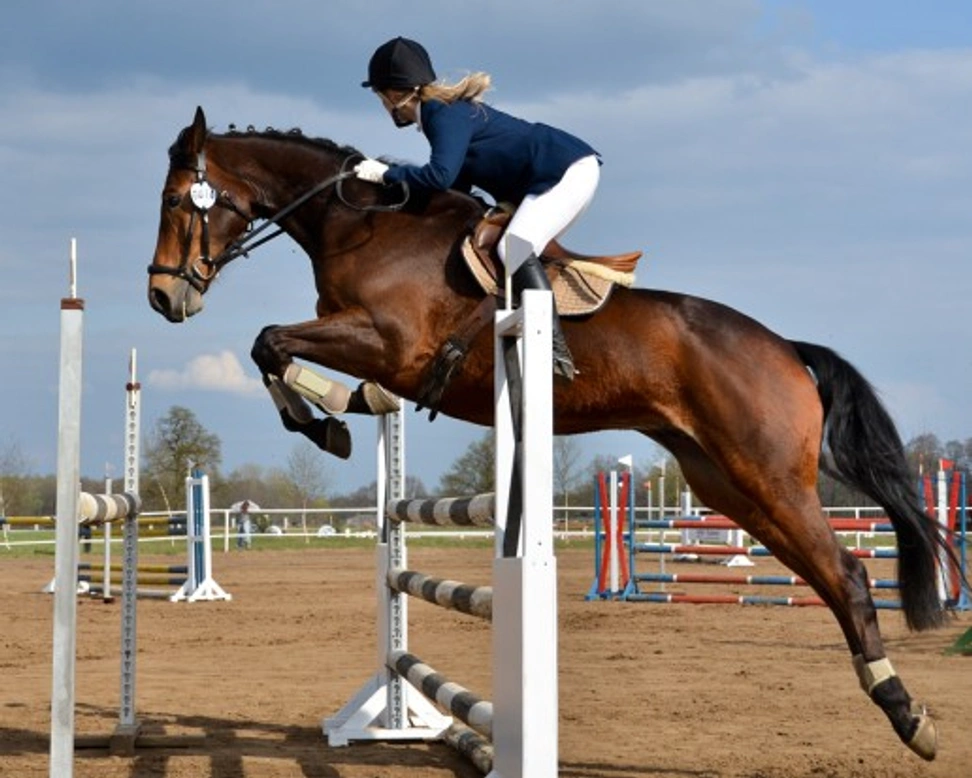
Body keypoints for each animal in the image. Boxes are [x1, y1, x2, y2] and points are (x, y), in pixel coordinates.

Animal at [148, 106, 960, 760]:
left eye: (176, 201)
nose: (162, 297)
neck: (362, 227)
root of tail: (786, 347)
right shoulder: (372, 347)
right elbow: (274, 348)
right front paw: (338, 417)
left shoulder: (389, 343)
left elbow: (269, 341)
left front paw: (323, 425)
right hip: (728, 485)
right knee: (824, 576)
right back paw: (896, 704)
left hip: (767, 475)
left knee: (848, 574)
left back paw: (908, 717)